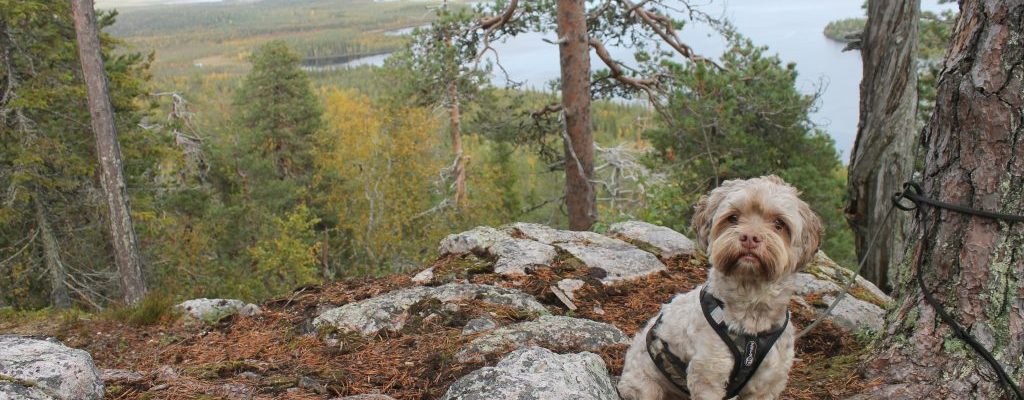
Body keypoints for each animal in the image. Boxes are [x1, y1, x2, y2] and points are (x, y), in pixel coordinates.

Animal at [614, 176, 823, 400]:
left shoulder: (767, 383)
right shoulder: (709, 373)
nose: (750, 237)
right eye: (733, 218)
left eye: (779, 223)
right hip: (646, 386)